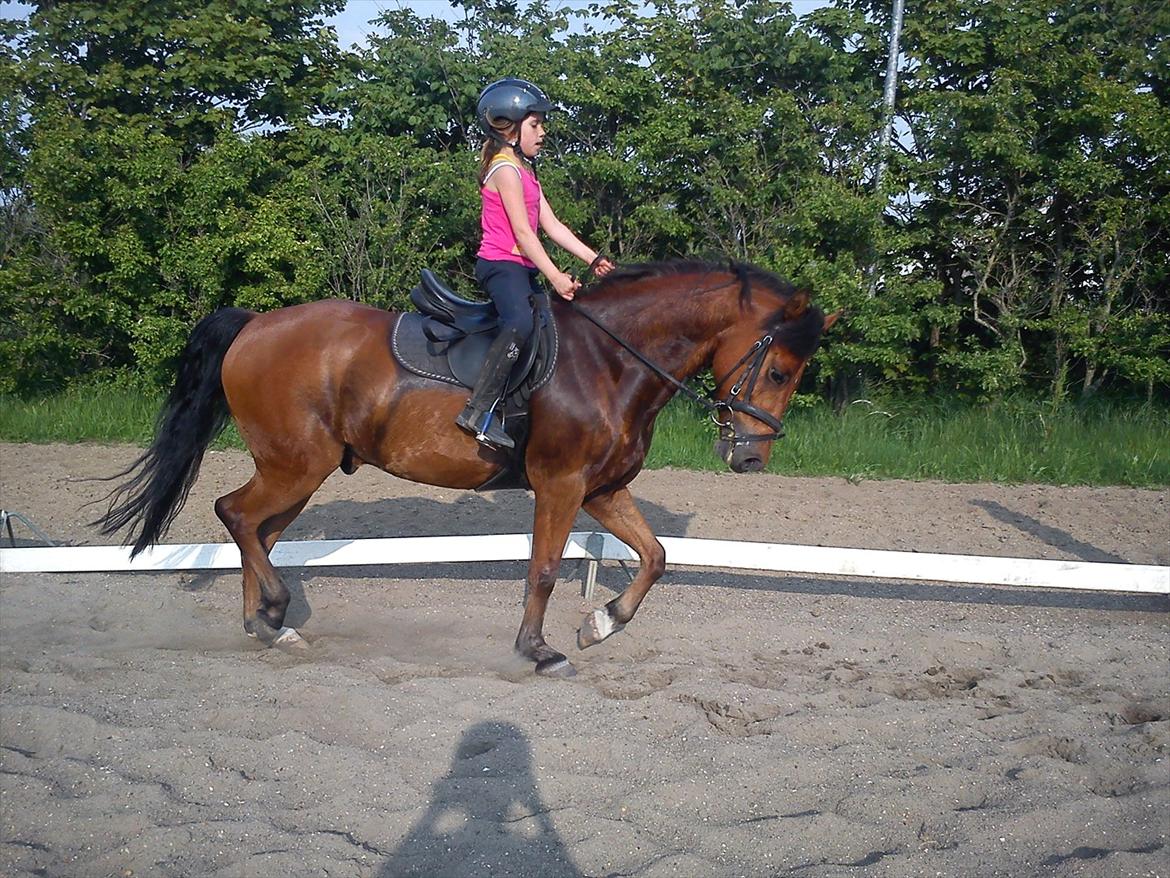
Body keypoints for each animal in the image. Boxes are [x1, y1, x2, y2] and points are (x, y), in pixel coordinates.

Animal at [97, 260, 839, 676]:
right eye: (778, 370)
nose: (750, 457)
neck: (612, 360)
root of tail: (254, 324)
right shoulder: (561, 484)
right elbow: (543, 569)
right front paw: (538, 650)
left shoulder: (602, 489)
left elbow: (655, 556)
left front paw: (600, 625)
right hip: (295, 464)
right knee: (236, 514)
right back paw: (273, 613)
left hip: (297, 471)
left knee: (259, 530)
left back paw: (269, 628)